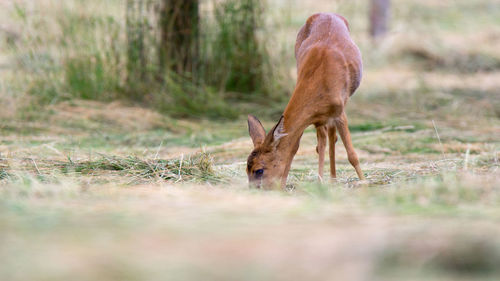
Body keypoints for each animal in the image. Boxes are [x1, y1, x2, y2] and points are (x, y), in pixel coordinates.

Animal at [247, 12, 368, 188]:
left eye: (259, 170)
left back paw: (333, 178)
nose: (253, 190)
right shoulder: (315, 117)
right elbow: (298, 147)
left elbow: (352, 154)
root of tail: (328, 13)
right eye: (246, 168)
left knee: (332, 138)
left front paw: (365, 182)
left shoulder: (339, 112)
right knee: (326, 140)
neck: (320, 82)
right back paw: (330, 178)